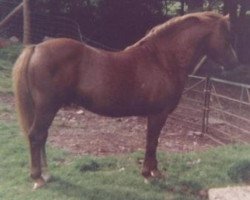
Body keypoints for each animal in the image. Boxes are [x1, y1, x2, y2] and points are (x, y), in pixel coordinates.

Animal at [12, 11, 238, 189]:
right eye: (226, 36)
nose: (233, 64)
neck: (162, 60)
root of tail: (36, 48)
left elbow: (154, 142)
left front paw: (154, 171)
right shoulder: (158, 114)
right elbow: (152, 142)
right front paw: (149, 174)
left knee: (42, 136)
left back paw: (46, 173)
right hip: (47, 107)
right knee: (36, 136)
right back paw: (38, 178)